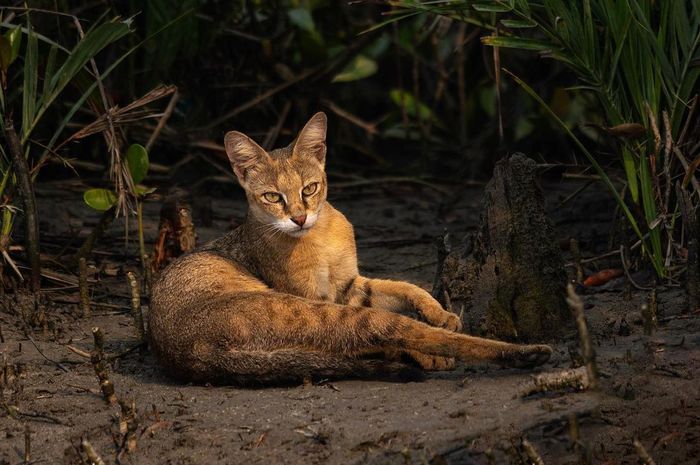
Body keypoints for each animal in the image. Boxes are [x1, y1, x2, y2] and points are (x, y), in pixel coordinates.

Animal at [149, 111, 552, 384]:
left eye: (310, 188)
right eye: (272, 197)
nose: (299, 218)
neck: (319, 236)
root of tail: (190, 355)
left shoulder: (349, 285)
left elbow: (404, 286)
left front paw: (440, 312)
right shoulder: (319, 295)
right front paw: (439, 331)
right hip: (307, 312)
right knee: (388, 334)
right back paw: (522, 354)